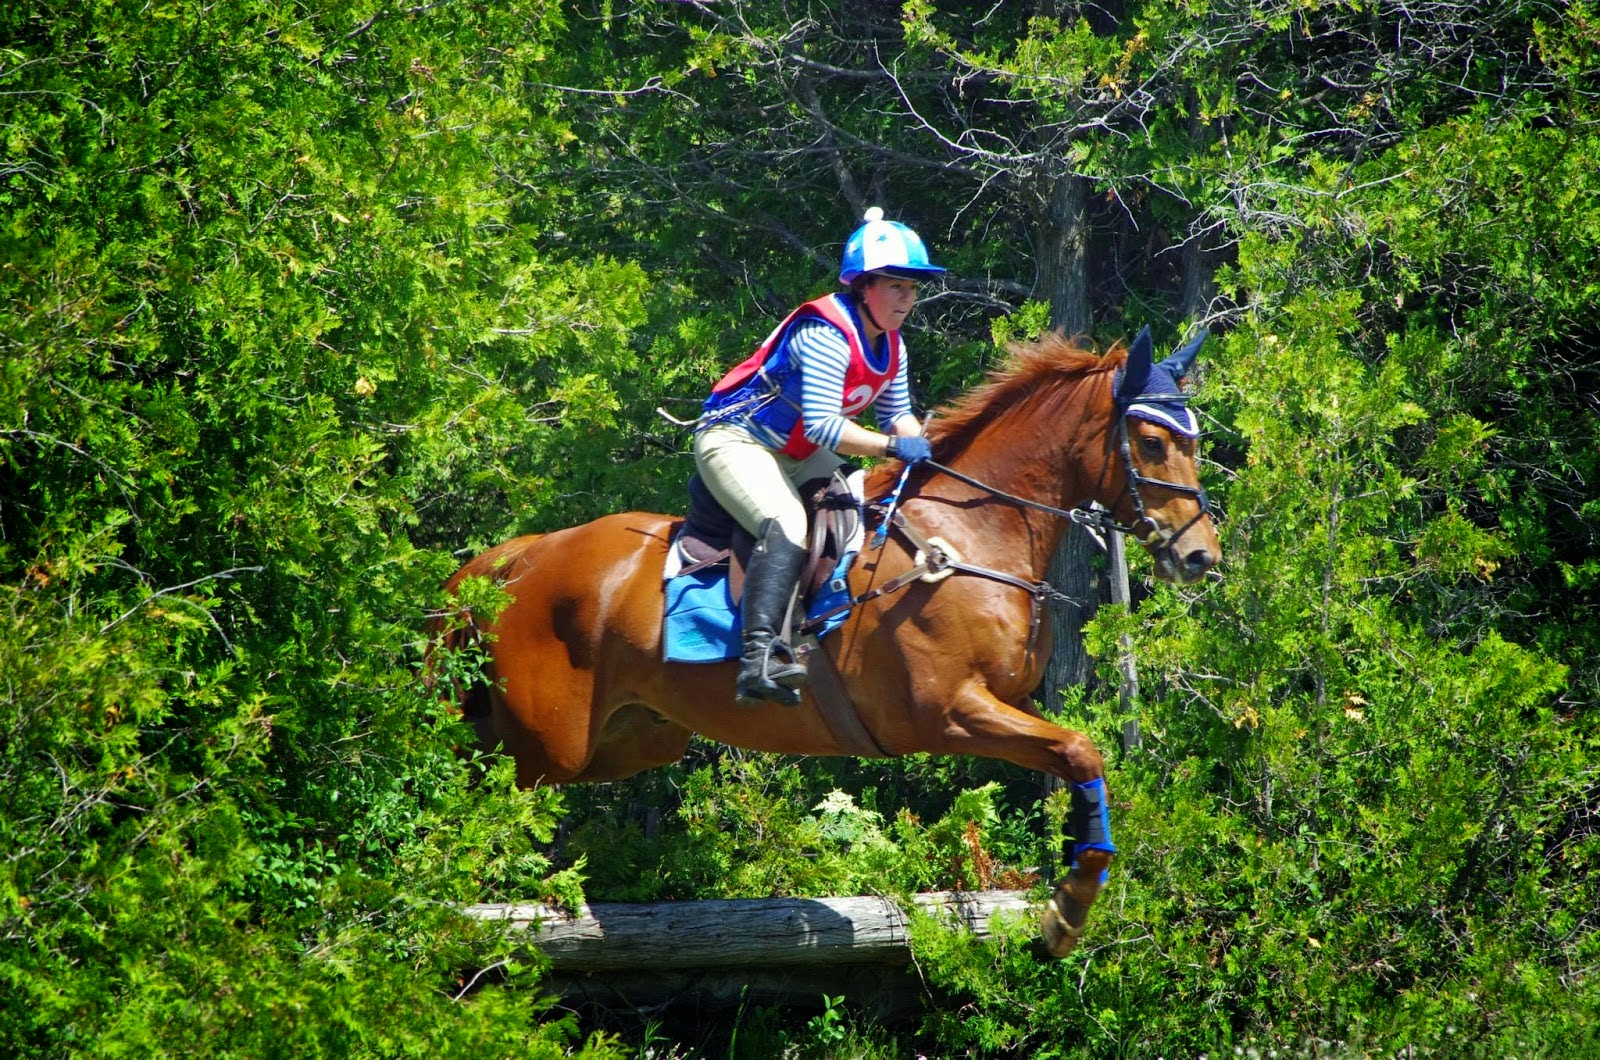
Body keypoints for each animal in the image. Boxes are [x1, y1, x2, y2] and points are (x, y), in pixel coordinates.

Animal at [437, 325, 1221, 958]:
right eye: (1152, 442)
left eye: (1193, 441)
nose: (1200, 557)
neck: (971, 534)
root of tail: (518, 559)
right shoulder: (947, 711)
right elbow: (1081, 749)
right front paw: (1068, 911)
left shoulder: (1007, 705)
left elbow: (1076, 758)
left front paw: (1065, 897)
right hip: (547, 749)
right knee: (478, 790)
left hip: (628, 739)